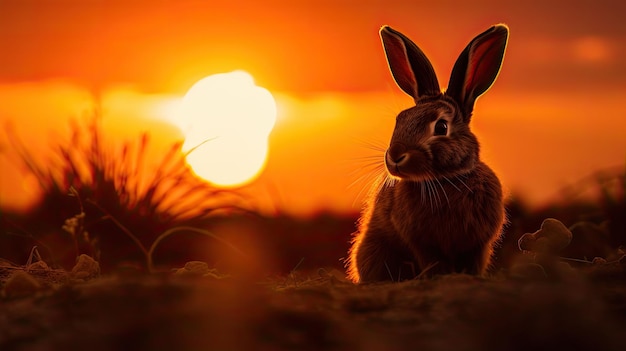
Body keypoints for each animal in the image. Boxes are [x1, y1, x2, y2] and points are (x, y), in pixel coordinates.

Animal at [346, 24, 508, 284]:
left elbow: (471, 263)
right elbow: (434, 262)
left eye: (441, 127)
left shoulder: (477, 245)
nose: (395, 155)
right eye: (399, 120)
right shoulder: (423, 244)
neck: (447, 181)